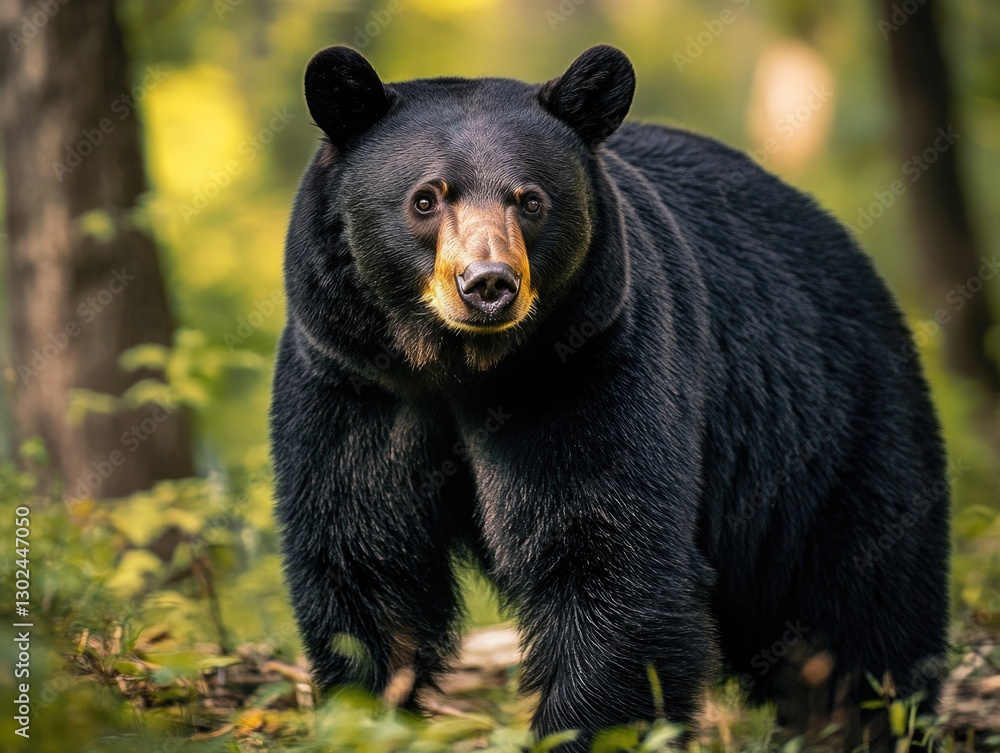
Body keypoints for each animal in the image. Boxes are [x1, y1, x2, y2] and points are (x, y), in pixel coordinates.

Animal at [271, 44, 949, 750]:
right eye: (426, 198)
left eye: (531, 200)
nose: (487, 285)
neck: (462, 368)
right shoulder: (355, 384)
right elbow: (365, 563)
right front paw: (366, 715)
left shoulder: (593, 364)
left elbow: (607, 554)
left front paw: (586, 729)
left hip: (831, 433)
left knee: (866, 609)